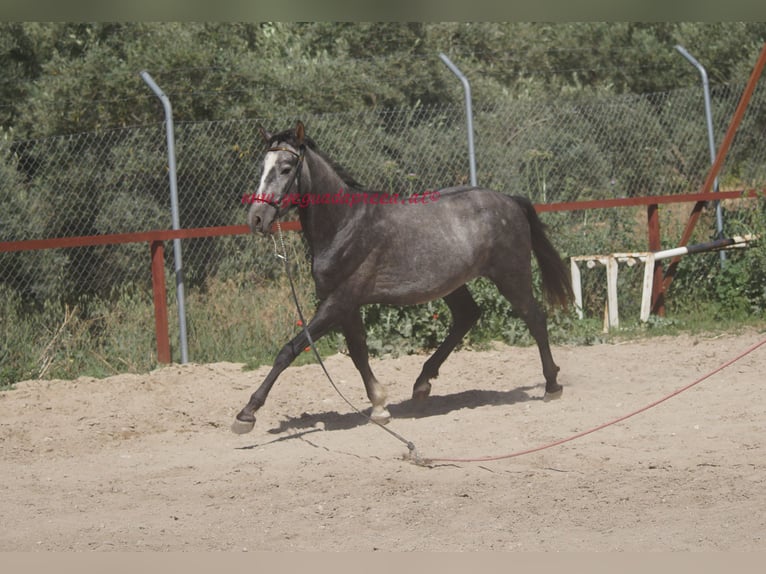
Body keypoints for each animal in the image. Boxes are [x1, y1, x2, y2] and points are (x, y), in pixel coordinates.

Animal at [231, 122, 572, 436]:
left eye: (286, 168)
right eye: (262, 167)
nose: (257, 218)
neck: (344, 224)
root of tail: (511, 201)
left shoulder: (338, 301)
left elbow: (289, 350)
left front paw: (246, 414)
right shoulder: (347, 305)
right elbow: (358, 353)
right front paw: (380, 406)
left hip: (511, 276)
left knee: (535, 318)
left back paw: (552, 385)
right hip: (452, 284)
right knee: (467, 316)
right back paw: (422, 384)